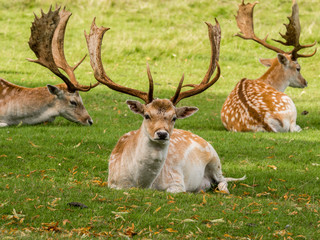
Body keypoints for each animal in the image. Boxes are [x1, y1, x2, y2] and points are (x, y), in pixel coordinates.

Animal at [84, 18, 245, 193]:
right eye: (147, 115)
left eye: (174, 117)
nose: (162, 133)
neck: (143, 184)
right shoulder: (113, 183)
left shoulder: (177, 182)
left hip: (215, 159)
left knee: (223, 180)